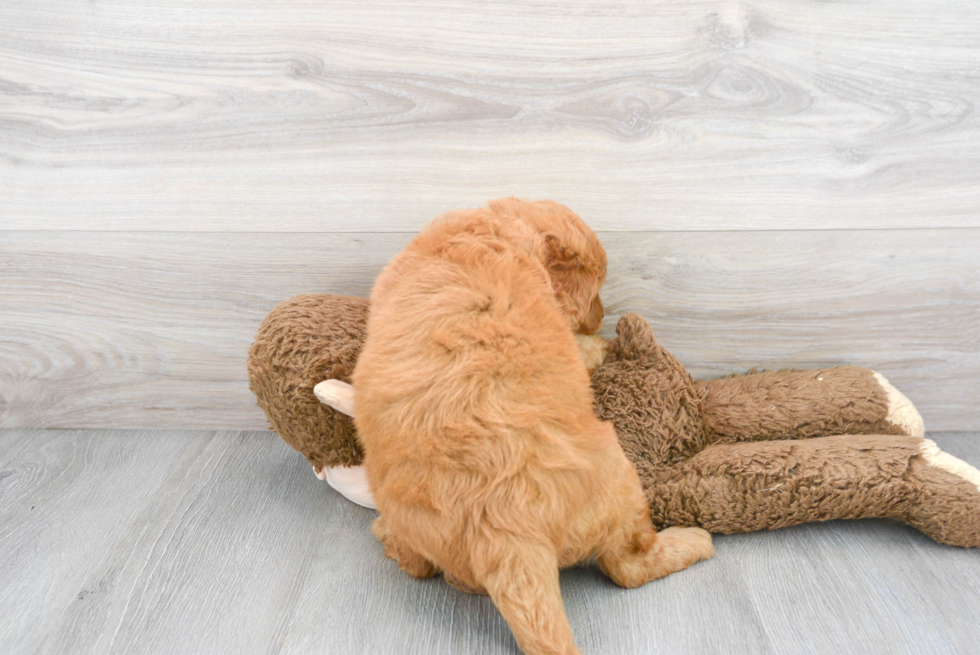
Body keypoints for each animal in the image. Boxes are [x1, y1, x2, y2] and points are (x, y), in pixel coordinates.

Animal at [352, 200, 712, 655]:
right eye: (596, 287)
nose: (600, 318)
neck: (484, 235)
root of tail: (504, 534)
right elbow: (583, 350)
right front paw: (602, 344)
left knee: (426, 568)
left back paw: (390, 539)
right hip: (621, 483)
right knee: (627, 566)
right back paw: (694, 540)